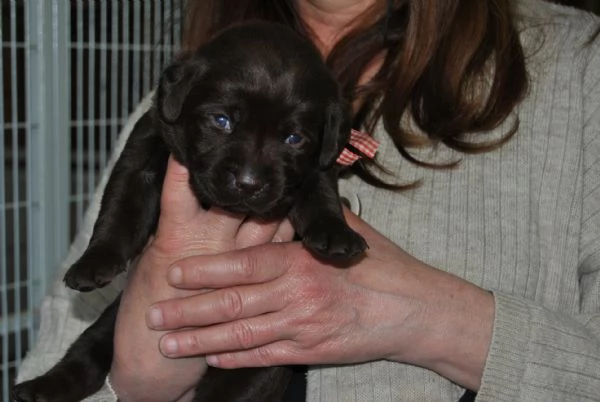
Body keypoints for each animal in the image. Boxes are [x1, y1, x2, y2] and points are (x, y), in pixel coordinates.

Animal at [14, 22, 368, 402]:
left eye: (294, 138)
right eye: (222, 120)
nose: (249, 183)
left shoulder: (318, 164)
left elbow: (321, 194)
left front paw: (337, 234)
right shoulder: (144, 149)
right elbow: (118, 209)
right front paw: (93, 262)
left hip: (254, 364)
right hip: (108, 325)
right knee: (83, 356)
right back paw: (38, 388)